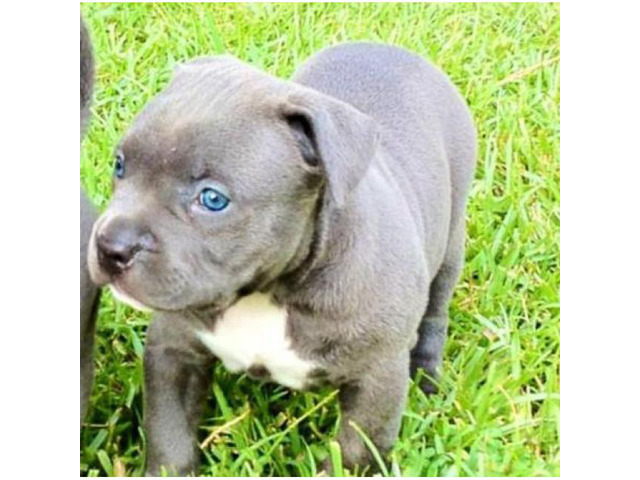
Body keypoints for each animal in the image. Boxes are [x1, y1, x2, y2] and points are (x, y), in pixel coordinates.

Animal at [86, 42, 476, 472]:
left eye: (213, 199)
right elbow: (169, 432)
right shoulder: (174, 351)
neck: (268, 292)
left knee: (435, 311)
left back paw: (426, 378)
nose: (111, 245)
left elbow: (355, 452)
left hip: (450, 242)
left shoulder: (377, 379)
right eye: (119, 165)